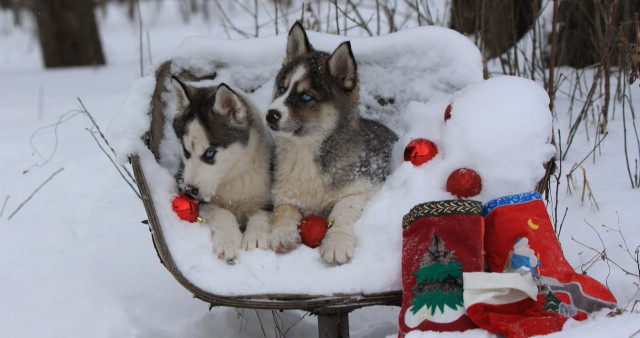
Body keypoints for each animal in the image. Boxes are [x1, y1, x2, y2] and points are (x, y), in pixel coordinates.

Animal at [171, 79, 272, 264]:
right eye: (186, 151)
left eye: (210, 153)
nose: (189, 190)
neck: (233, 177)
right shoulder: (199, 201)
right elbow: (222, 212)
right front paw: (228, 241)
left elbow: (261, 213)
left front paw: (256, 237)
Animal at [264, 23, 396, 266]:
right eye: (281, 89)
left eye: (306, 96)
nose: (270, 114)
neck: (305, 151)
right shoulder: (283, 190)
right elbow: (285, 209)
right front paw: (283, 233)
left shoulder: (367, 187)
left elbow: (342, 209)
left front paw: (337, 244)